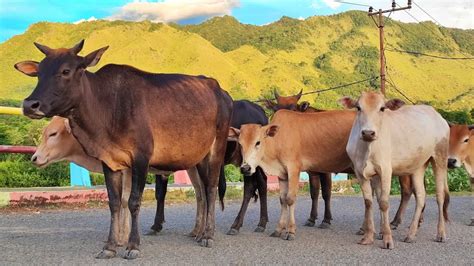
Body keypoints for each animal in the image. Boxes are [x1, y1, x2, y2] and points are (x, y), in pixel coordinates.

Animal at [17, 40, 233, 260]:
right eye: (38, 73)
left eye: (65, 70)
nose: (30, 104)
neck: (108, 106)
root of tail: (220, 91)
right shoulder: (110, 161)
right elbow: (114, 202)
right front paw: (110, 246)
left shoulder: (140, 159)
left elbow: (133, 201)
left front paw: (132, 245)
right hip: (197, 160)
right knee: (202, 191)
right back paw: (198, 232)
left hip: (216, 149)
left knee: (211, 188)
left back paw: (208, 234)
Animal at [227, 109, 356, 240]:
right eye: (240, 144)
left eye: (258, 142)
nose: (245, 168)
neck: (278, 139)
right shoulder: (282, 174)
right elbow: (283, 199)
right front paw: (279, 229)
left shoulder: (294, 169)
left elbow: (290, 199)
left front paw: (291, 231)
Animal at [340, 91, 448, 249]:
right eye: (358, 107)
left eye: (382, 108)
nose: (368, 133)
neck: (367, 149)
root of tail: (436, 114)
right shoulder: (361, 172)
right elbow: (369, 202)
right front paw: (369, 237)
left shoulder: (386, 170)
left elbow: (384, 203)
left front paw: (387, 239)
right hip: (418, 166)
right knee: (421, 196)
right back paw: (411, 234)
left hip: (440, 158)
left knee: (440, 196)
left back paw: (441, 233)